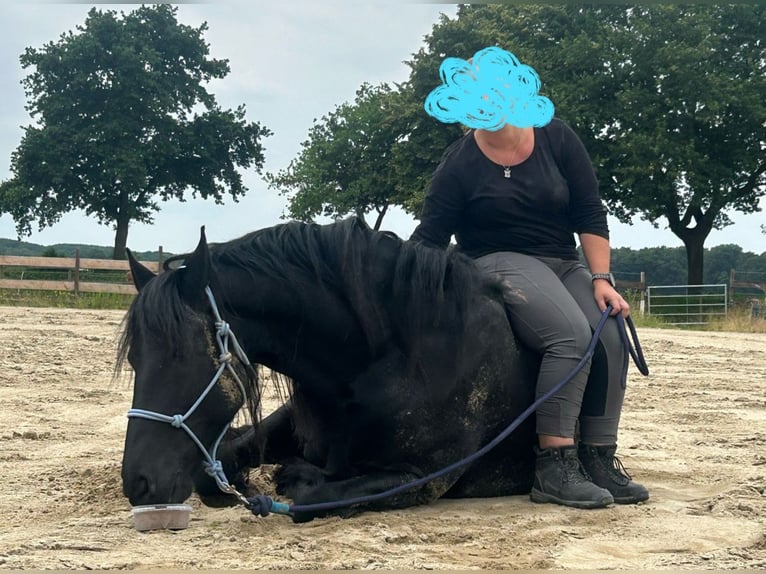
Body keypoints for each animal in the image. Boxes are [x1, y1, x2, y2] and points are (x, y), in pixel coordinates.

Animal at [118, 216, 541, 522]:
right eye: (135, 359)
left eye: (182, 356)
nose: (138, 483)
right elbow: (221, 462)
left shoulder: (420, 477)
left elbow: (315, 494)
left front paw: (297, 475)